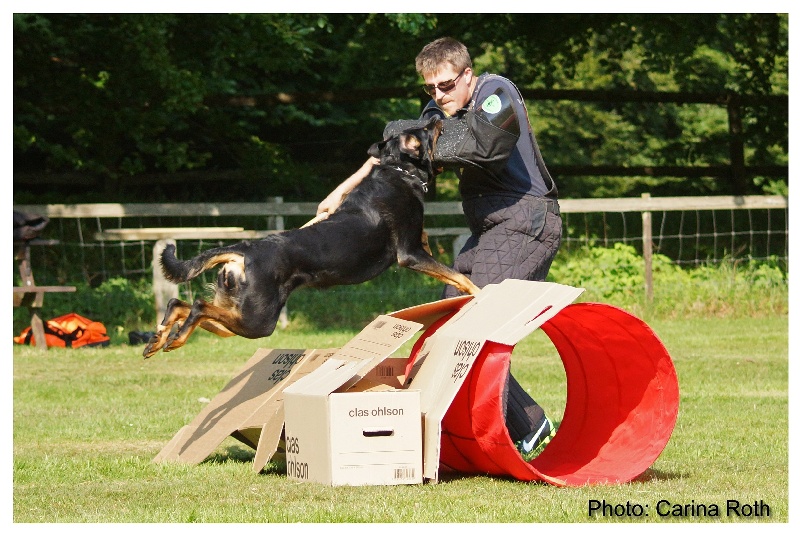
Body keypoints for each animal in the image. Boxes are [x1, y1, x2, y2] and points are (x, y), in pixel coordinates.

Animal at [142, 118, 479, 358]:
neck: (397, 171)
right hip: (258, 319)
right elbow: (461, 278)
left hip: (239, 312)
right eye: (425, 131)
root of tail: (244, 249)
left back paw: (159, 338)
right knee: (198, 306)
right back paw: (174, 339)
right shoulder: (409, 254)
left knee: (178, 303)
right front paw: (481, 293)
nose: (436, 118)